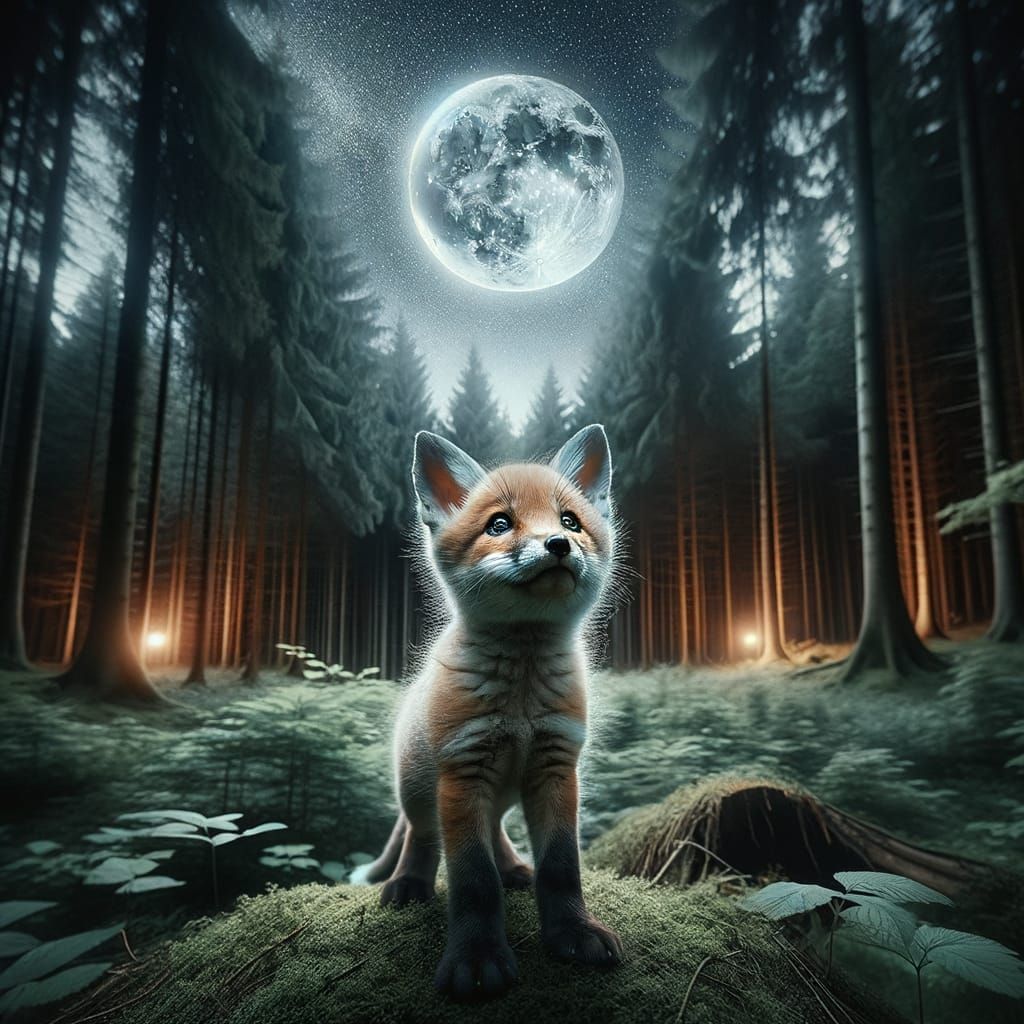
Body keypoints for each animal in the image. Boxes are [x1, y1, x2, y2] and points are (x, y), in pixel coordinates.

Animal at [354, 423, 622, 1000]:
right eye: (499, 524)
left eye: (570, 521)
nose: (558, 545)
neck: (520, 701)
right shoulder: (463, 769)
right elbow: (473, 881)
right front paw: (476, 959)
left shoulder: (556, 768)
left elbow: (561, 867)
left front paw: (573, 933)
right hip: (421, 790)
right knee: (421, 838)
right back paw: (407, 883)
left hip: (496, 794)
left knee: (496, 830)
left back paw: (515, 867)